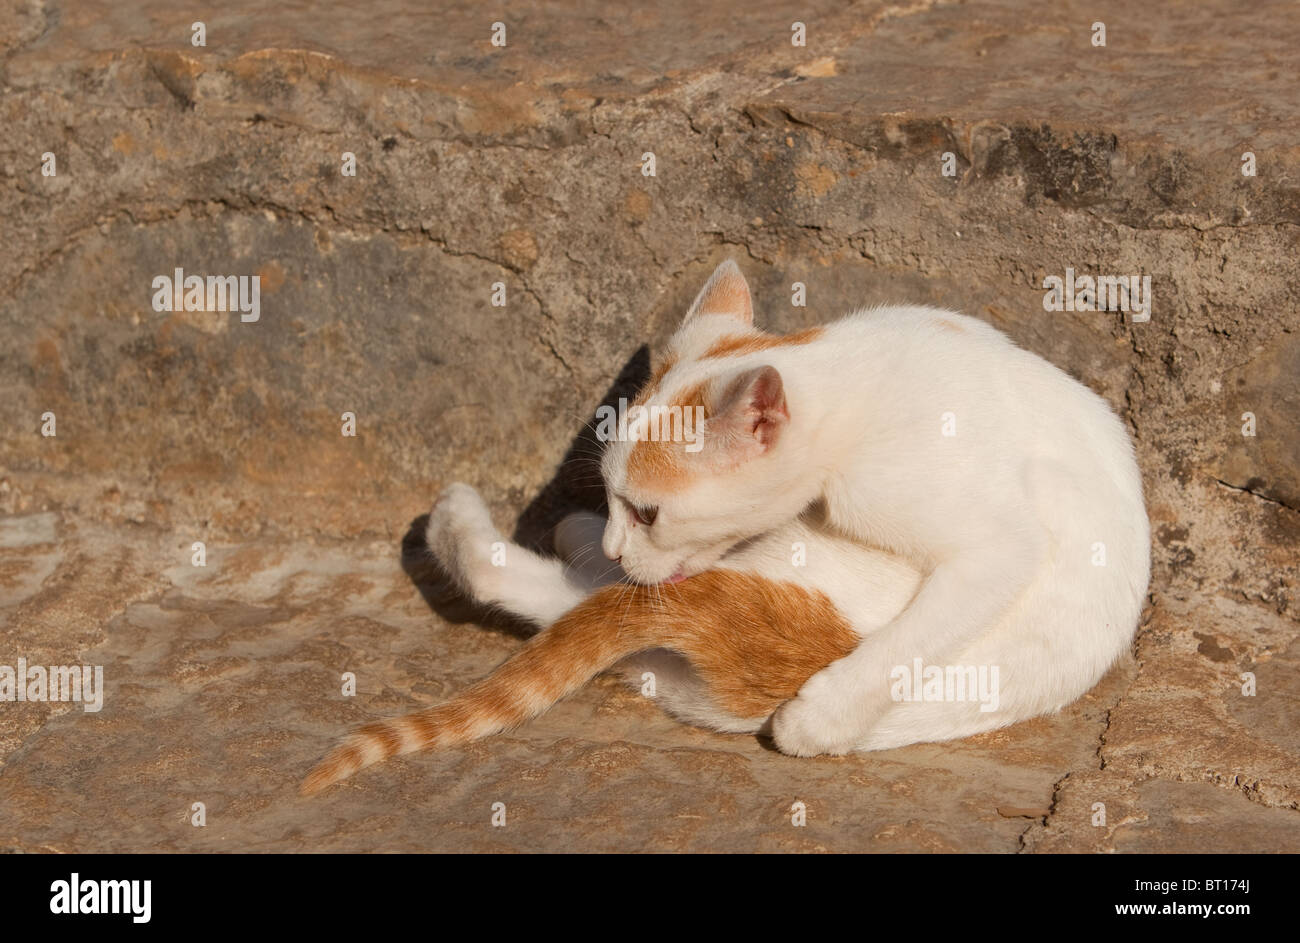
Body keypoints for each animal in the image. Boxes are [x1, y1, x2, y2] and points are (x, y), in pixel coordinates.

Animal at [301, 258, 1149, 796]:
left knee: (580, 595)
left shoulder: (995, 543)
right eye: (618, 497)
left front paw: (819, 719)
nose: (616, 537)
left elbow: (918, 633)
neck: (851, 368)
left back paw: (488, 531)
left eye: (647, 510)